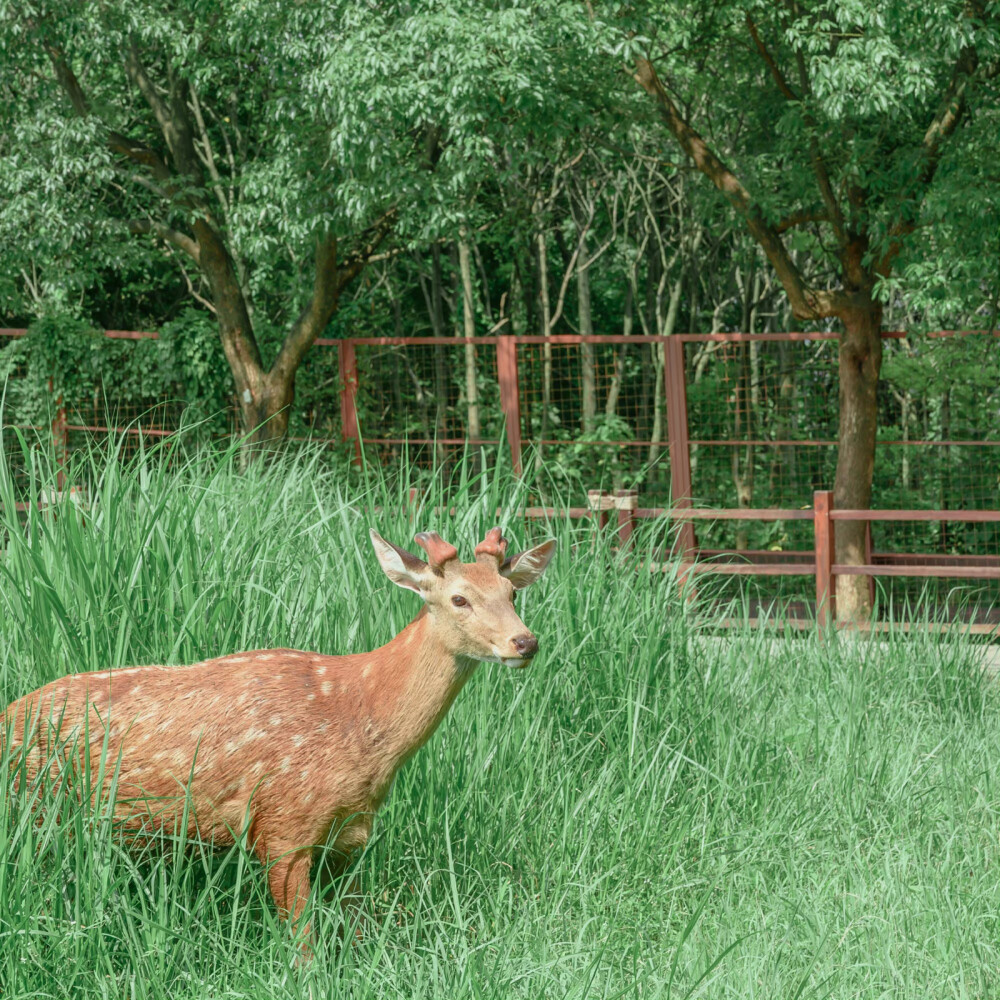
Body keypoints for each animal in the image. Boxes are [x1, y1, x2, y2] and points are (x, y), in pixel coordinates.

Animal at [1, 528, 556, 948]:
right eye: (459, 597)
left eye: (511, 593)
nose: (525, 642)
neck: (358, 722)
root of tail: (9, 714)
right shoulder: (283, 825)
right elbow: (303, 942)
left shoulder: (350, 833)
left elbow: (353, 926)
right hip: (38, 807)